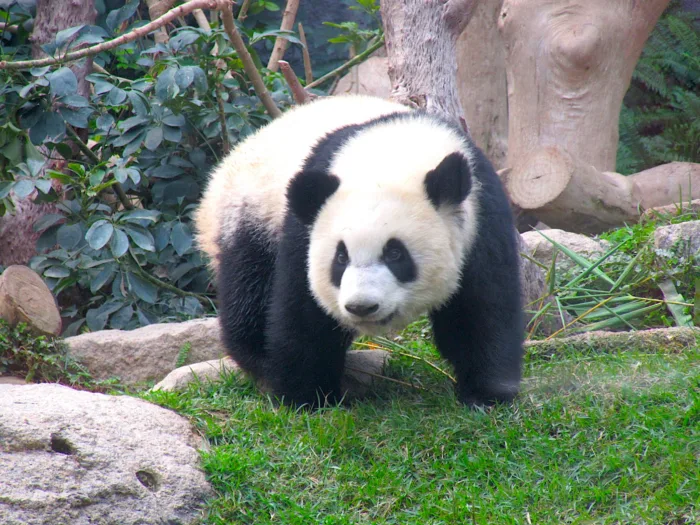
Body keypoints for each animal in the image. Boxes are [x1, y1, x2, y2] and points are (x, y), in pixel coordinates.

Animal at [195, 95, 523, 408]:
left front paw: (486, 393)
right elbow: (303, 312)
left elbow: (481, 307)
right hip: (251, 216)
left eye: (395, 254)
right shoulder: (305, 226)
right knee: (249, 291)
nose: (362, 306)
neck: (393, 154)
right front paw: (306, 397)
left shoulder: (482, 214)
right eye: (341, 257)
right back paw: (262, 360)